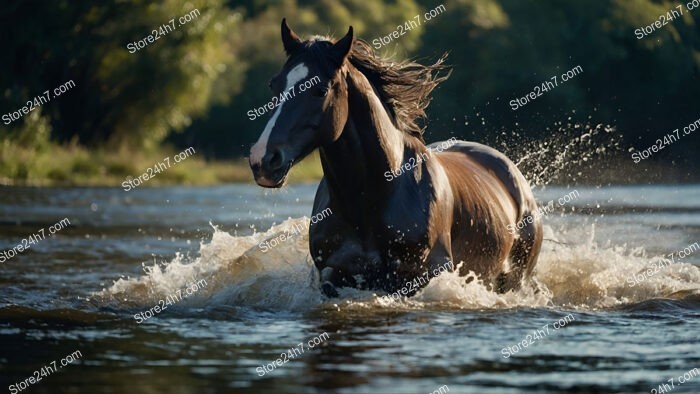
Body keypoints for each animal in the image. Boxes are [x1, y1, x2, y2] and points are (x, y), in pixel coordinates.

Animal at [249, 18, 544, 296]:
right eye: (274, 85)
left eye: (320, 89)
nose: (263, 159)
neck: (372, 201)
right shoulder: (334, 273)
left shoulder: (420, 275)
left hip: (515, 279)